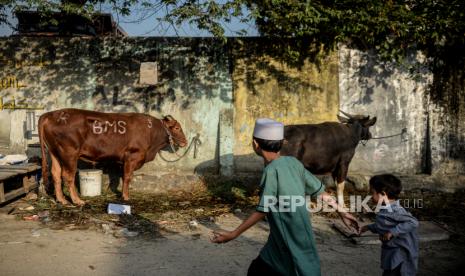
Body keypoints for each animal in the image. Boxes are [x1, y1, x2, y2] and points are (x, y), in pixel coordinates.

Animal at [38, 108, 187, 205]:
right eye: (177, 128)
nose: (185, 142)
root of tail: (50, 114)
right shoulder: (132, 156)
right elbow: (127, 177)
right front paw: (126, 197)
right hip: (69, 153)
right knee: (68, 175)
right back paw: (77, 201)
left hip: (54, 152)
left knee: (55, 173)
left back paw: (61, 200)